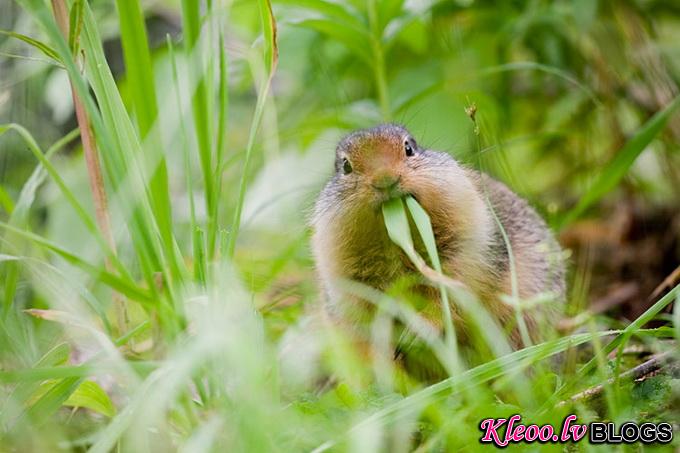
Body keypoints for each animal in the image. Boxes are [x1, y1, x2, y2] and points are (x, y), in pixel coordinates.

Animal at [310, 124, 564, 360]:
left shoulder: (469, 250)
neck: (397, 244)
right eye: (346, 166)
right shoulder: (349, 280)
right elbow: (365, 320)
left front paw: (417, 331)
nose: (385, 180)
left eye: (409, 148)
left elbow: (454, 293)